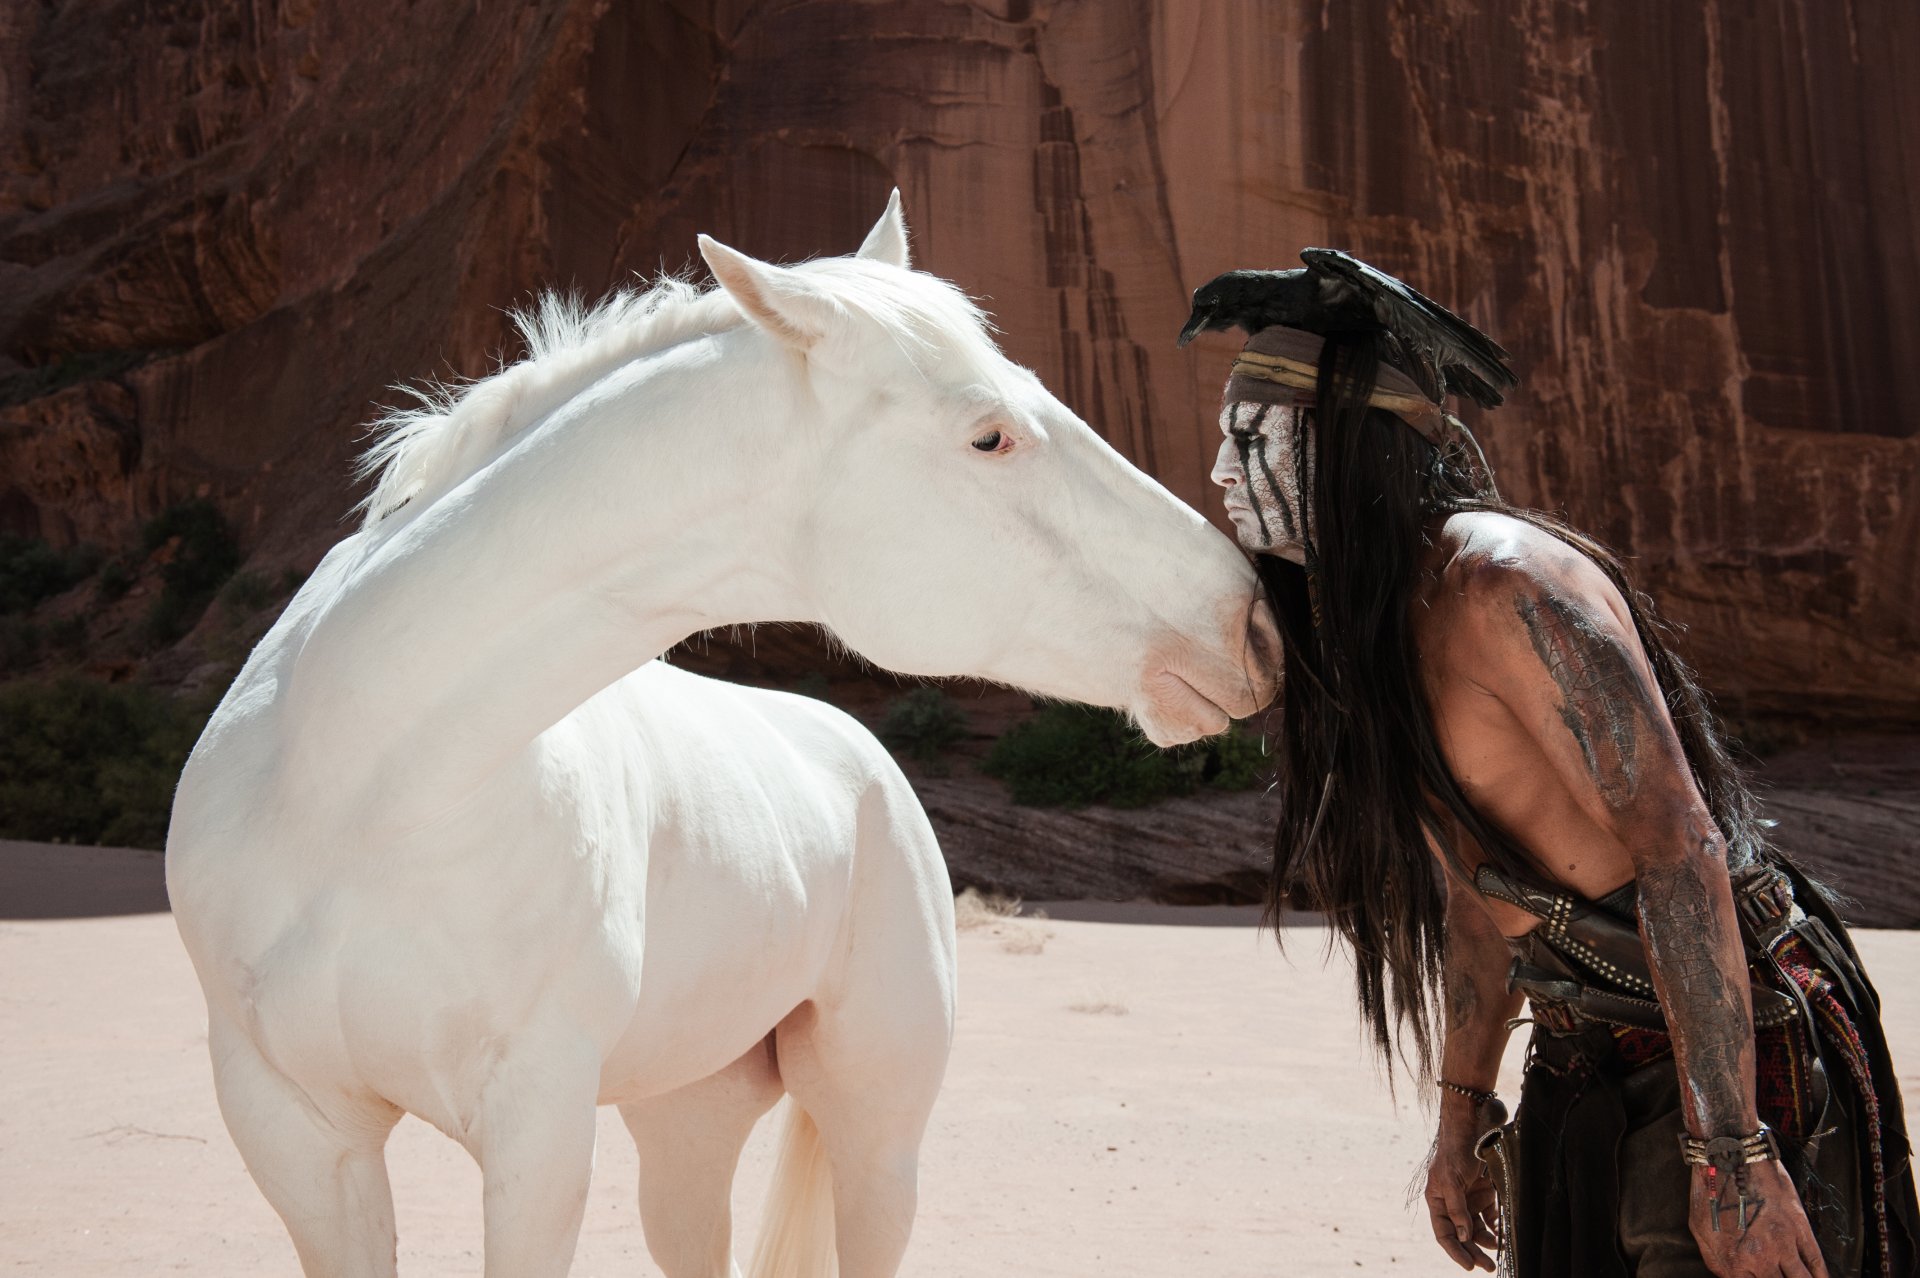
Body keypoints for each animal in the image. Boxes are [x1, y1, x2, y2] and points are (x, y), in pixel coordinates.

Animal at [166, 192, 1279, 1278]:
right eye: (989, 435)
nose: (1250, 620)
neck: (355, 790)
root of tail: (861, 752)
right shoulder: (295, 1132)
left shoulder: (537, 1130)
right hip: (684, 1119)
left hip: (876, 1137)